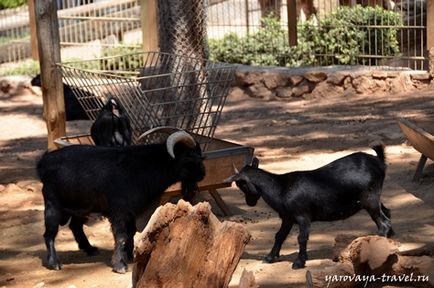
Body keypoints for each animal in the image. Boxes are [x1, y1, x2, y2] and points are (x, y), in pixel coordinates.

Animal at [36, 130, 206, 272]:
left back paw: (90, 249)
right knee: (49, 234)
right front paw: (120, 265)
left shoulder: (131, 212)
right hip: (52, 206)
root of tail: (44, 162)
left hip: (81, 208)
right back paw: (54, 263)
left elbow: (131, 232)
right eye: (190, 157)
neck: (143, 167)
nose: (202, 174)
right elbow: (122, 236)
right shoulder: (119, 212)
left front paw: (130, 256)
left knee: (75, 226)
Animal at [224, 146, 394, 270]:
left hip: (370, 200)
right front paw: (270, 257)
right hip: (373, 200)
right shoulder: (287, 218)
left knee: (383, 222)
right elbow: (279, 236)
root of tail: (379, 160)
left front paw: (299, 262)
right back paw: (391, 238)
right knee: (386, 213)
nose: (250, 203)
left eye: (240, 184)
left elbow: (302, 238)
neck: (281, 188)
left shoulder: (303, 216)